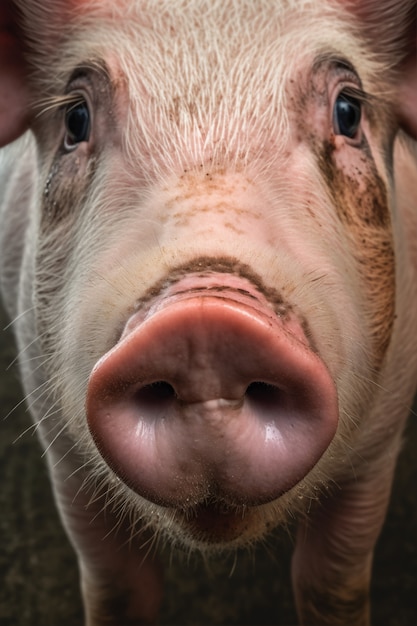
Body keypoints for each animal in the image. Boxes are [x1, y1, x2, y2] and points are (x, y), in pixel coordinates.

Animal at [0, 0, 416, 620]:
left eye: (349, 111)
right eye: (75, 120)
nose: (204, 326)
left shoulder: (377, 447)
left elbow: (331, 582)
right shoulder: (64, 453)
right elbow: (118, 589)